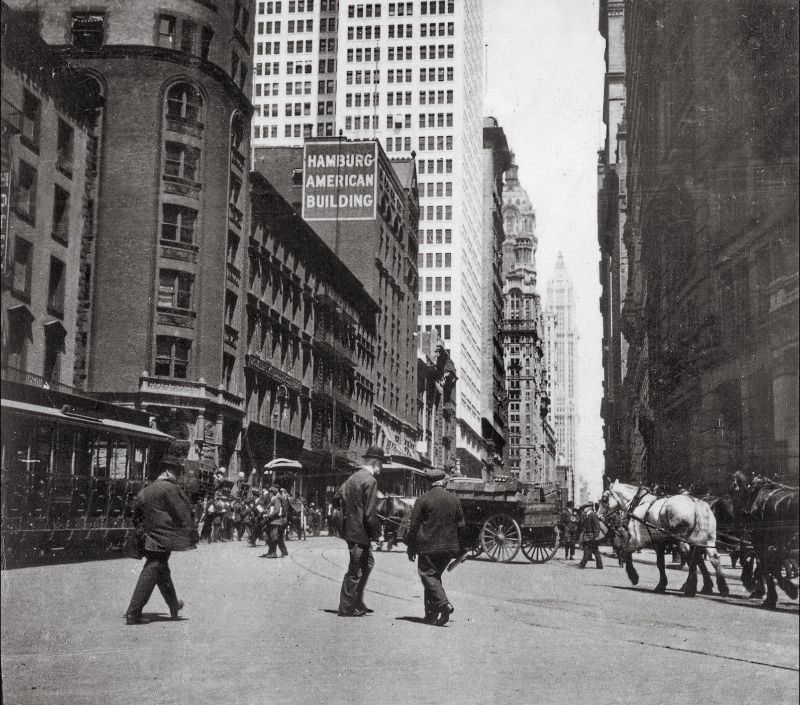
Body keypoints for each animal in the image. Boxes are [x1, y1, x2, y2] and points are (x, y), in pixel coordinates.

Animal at [596, 476, 728, 596]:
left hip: (682, 540)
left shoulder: (638, 540)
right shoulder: (660, 542)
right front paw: (662, 584)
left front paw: (635, 577)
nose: (598, 516)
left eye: (604, 499)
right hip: (707, 540)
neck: (640, 503)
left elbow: (627, 553)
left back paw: (691, 588)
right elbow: (660, 563)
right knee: (711, 558)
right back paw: (720, 587)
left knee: (692, 558)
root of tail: (696, 504)